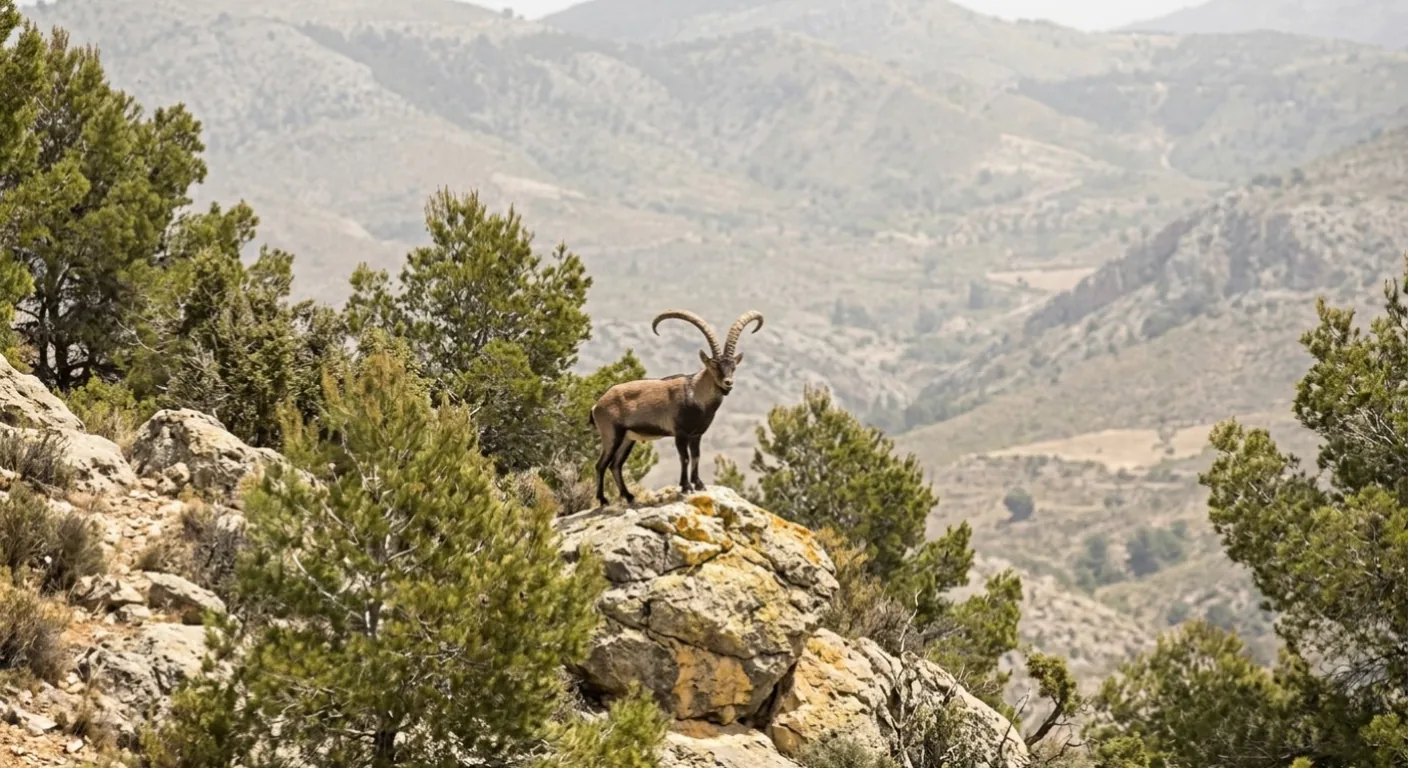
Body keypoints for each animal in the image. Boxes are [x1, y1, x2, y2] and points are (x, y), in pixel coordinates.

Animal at [588, 309, 764, 507]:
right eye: (714, 365)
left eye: (733, 366)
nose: (728, 383)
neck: (695, 394)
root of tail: (597, 405)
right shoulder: (680, 433)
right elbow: (684, 458)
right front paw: (685, 487)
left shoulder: (696, 434)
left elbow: (696, 456)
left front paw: (699, 484)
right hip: (612, 434)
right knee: (601, 464)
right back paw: (603, 500)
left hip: (627, 438)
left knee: (615, 464)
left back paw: (629, 496)